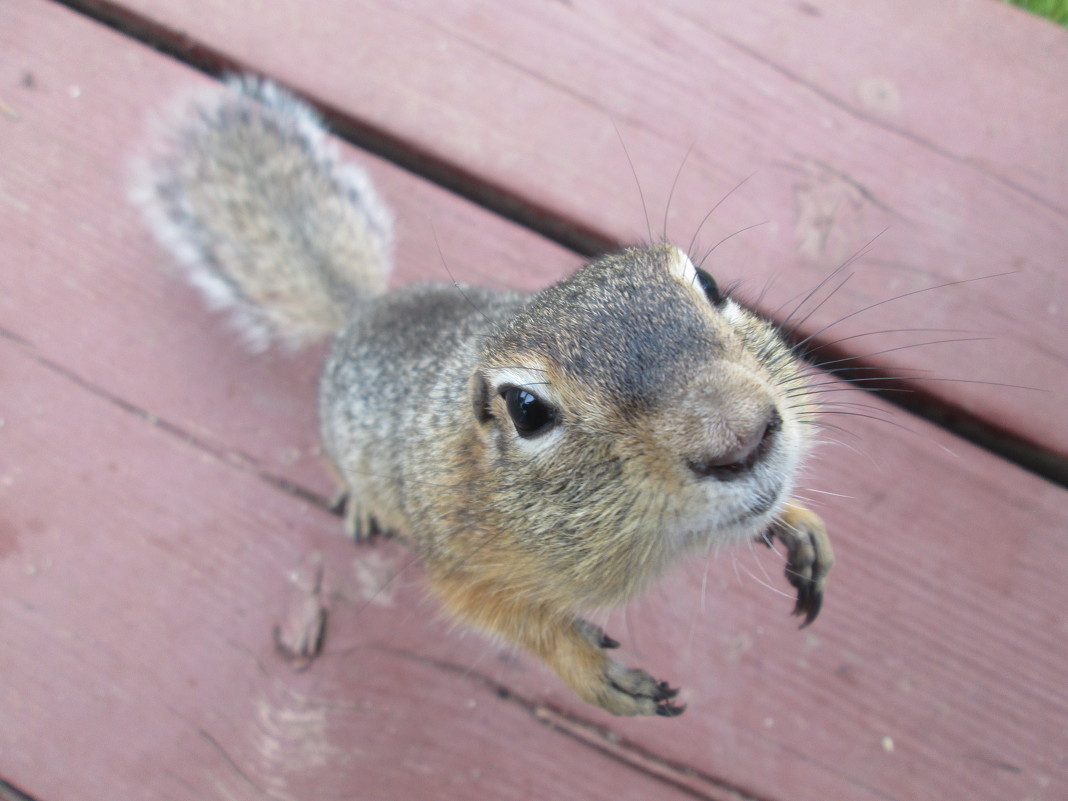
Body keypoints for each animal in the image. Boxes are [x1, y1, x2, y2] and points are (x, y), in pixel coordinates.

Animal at [135, 78, 833, 721]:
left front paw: (797, 524)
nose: (741, 436)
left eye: (711, 284)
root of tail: (362, 311)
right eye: (526, 411)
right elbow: (512, 620)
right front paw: (593, 673)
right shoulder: (458, 562)